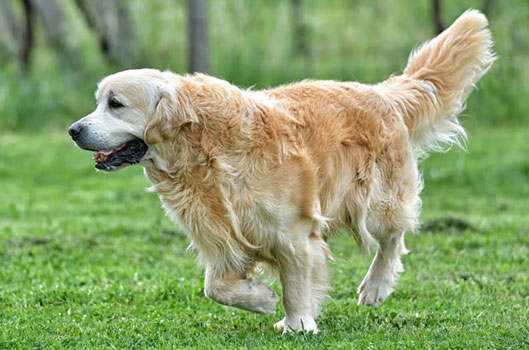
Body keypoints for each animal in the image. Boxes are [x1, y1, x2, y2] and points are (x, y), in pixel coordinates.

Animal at [68, 11, 492, 334]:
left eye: (115, 104)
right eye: (98, 102)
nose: (73, 130)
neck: (205, 152)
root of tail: (381, 91)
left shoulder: (293, 233)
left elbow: (295, 284)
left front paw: (298, 323)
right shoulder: (219, 238)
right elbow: (214, 287)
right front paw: (260, 299)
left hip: (376, 202)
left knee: (394, 237)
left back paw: (376, 286)